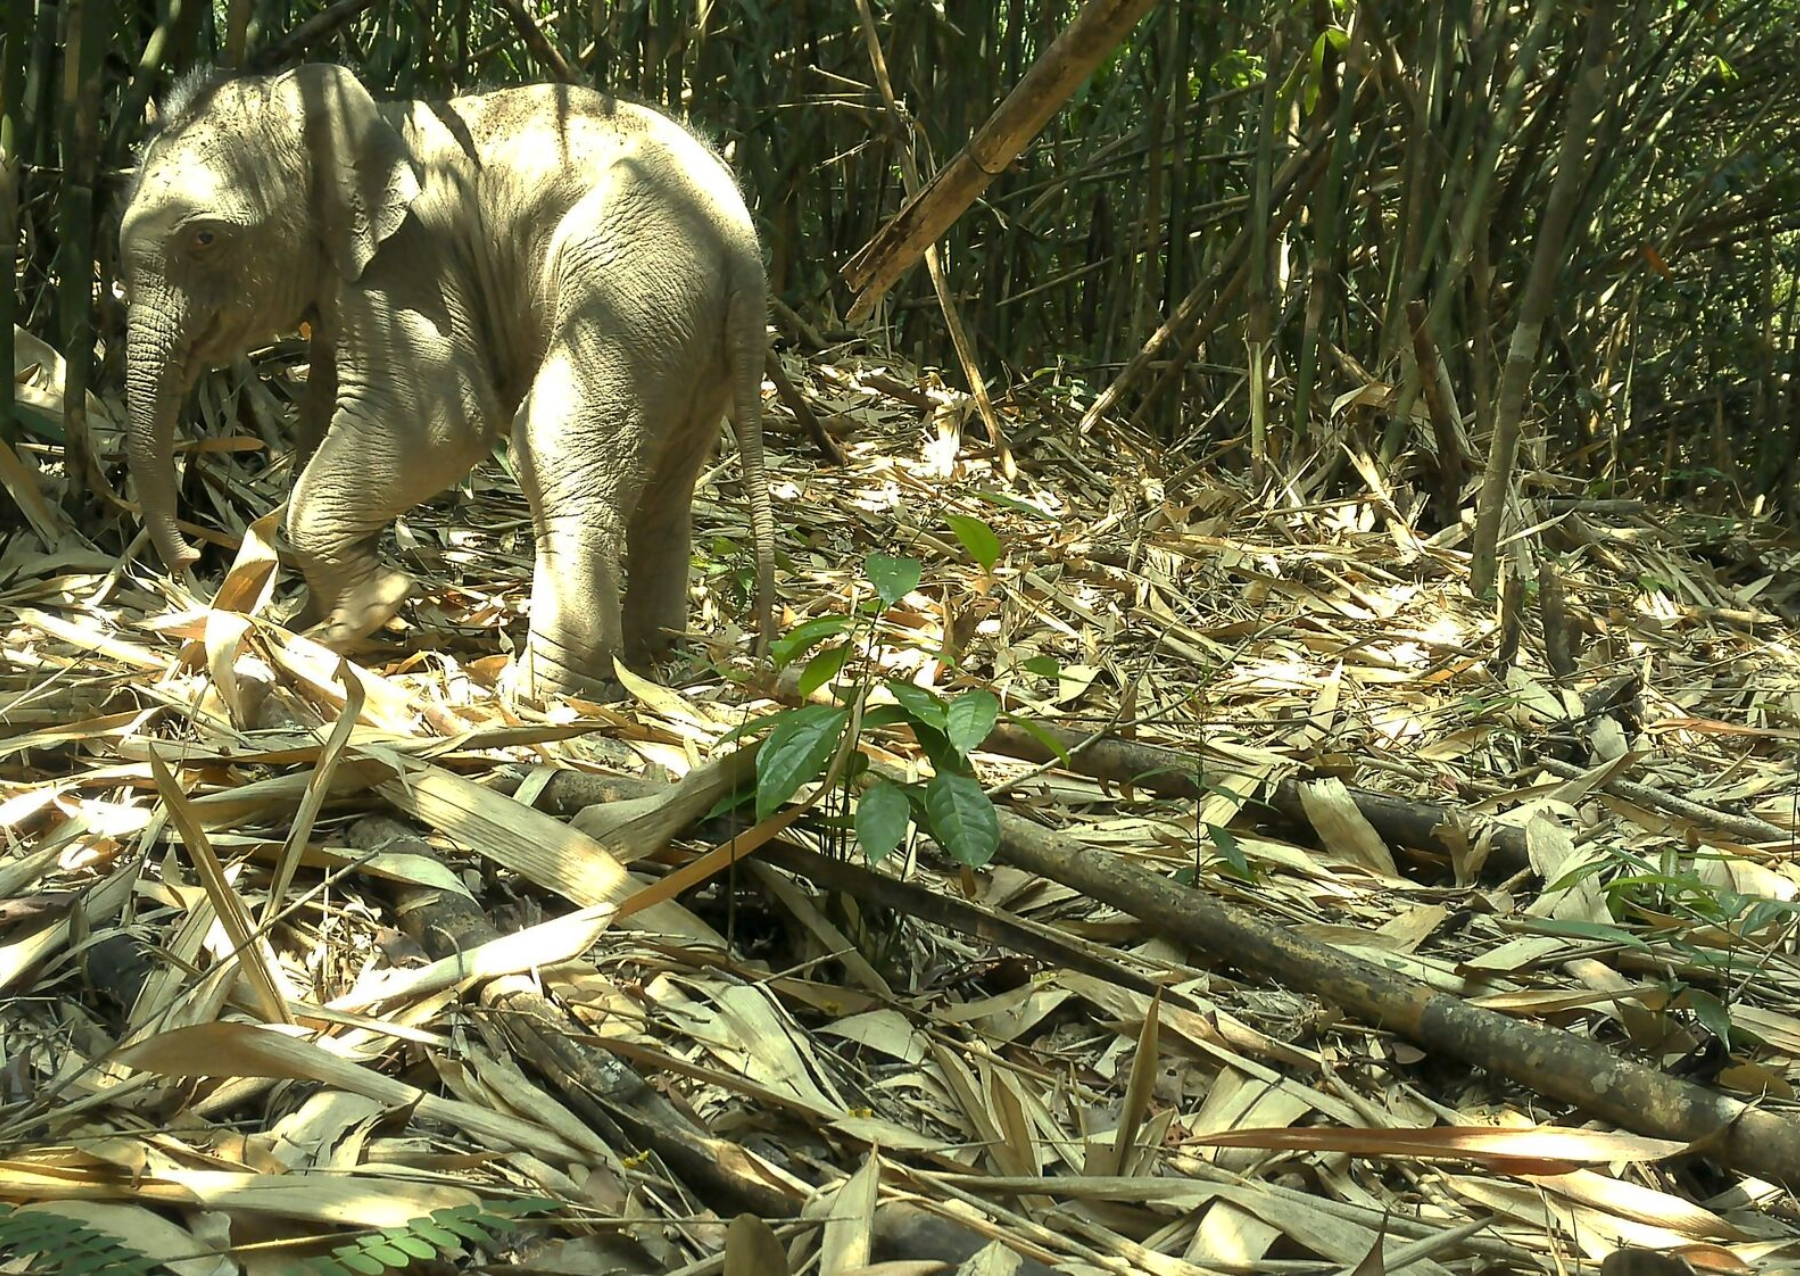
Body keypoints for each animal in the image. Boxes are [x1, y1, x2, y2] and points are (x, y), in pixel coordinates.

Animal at [119, 62, 775, 699]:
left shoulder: (409, 264)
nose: (189, 562)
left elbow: (443, 421)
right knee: (666, 487)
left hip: (630, 291)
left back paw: (538, 692)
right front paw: (308, 626)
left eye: (204, 239)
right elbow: (325, 417)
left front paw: (363, 614)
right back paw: (646, 663)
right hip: (684, 332)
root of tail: (744, 241)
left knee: (550, 445)